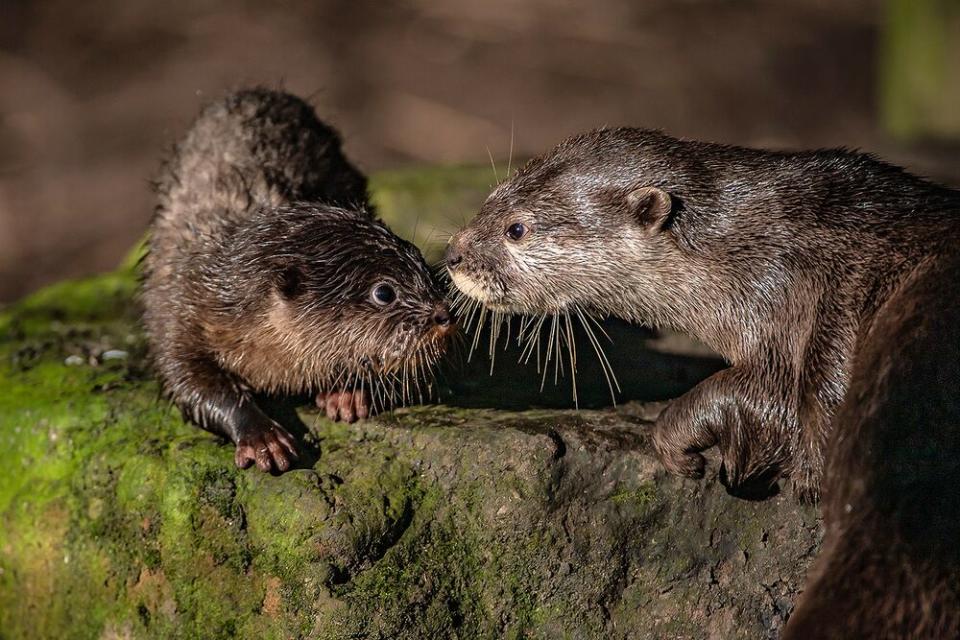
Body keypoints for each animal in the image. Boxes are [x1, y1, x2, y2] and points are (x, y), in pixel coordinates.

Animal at [142, 87, 454, 472]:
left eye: (417, 255)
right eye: (384, 292)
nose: (444, 313)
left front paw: (345, 394)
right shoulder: (178, 311)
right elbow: (187, 381)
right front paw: (262, 438)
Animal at [446, 129, 960, 636]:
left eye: (516, 229)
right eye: (489, 199)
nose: (452, 254)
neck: (747, 250)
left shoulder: (782, 298)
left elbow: (771, 401)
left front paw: (678, 444)